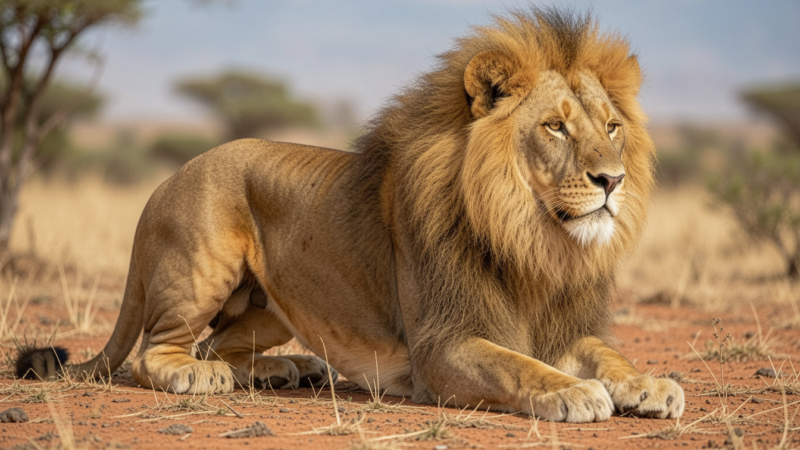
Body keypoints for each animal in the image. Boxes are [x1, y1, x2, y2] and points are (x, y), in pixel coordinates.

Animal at [17, 8, 684, 422]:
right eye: (554, 127)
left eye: (611, 127)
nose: (612, 180)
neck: (534, 239)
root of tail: (165, 181)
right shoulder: (442, 346)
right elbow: (518, 367)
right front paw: (574, 392)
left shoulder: (563, 326)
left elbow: (608, 354)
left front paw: (650, 383)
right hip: (204, 265)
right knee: (158, 352)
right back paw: (205, 378)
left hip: (268, 305)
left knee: (216, 346)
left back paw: (291, 367)